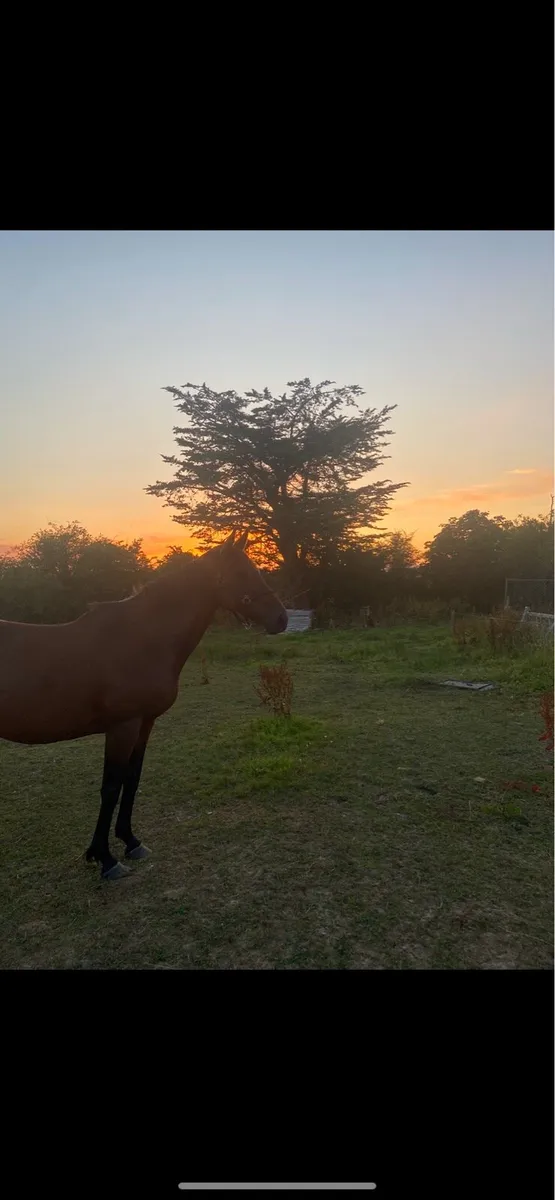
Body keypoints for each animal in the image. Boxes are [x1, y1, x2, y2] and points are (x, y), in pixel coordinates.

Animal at [0, 531, 287, 880]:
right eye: (242, 573)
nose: (282, 618)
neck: (143, 638)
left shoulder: (145, 723)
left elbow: (132, 779)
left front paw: (131, 841)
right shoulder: (122, 727)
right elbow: (111, 787)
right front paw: (105, 859)